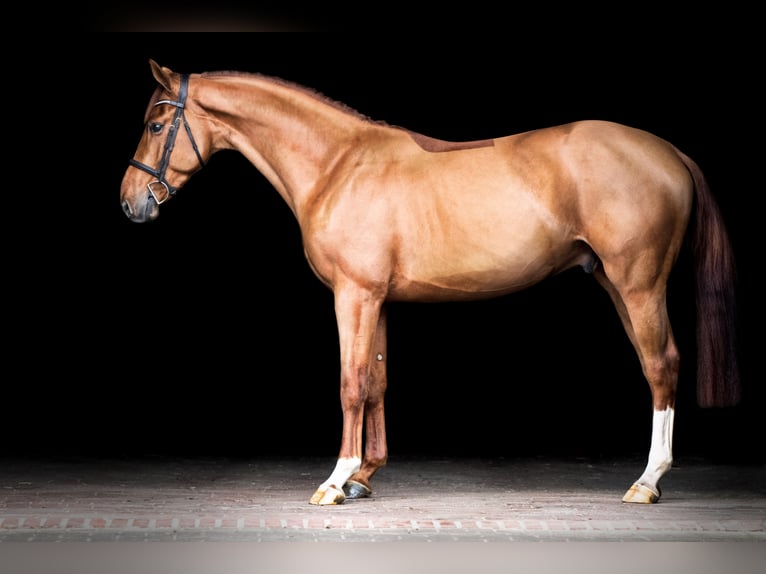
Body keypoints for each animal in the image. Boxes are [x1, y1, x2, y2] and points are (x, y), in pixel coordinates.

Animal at [121, 59, 744, 508]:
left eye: (155, 124)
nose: (130, 203)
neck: (339, 164)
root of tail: (667, 150)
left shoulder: (353, 296)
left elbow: (350, 383)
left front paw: (335, 480)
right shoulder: (377, 299)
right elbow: (377, 381)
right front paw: (365, 476)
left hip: (639, 285)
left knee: (661, 365)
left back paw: (648, 480)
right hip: (615, 284)